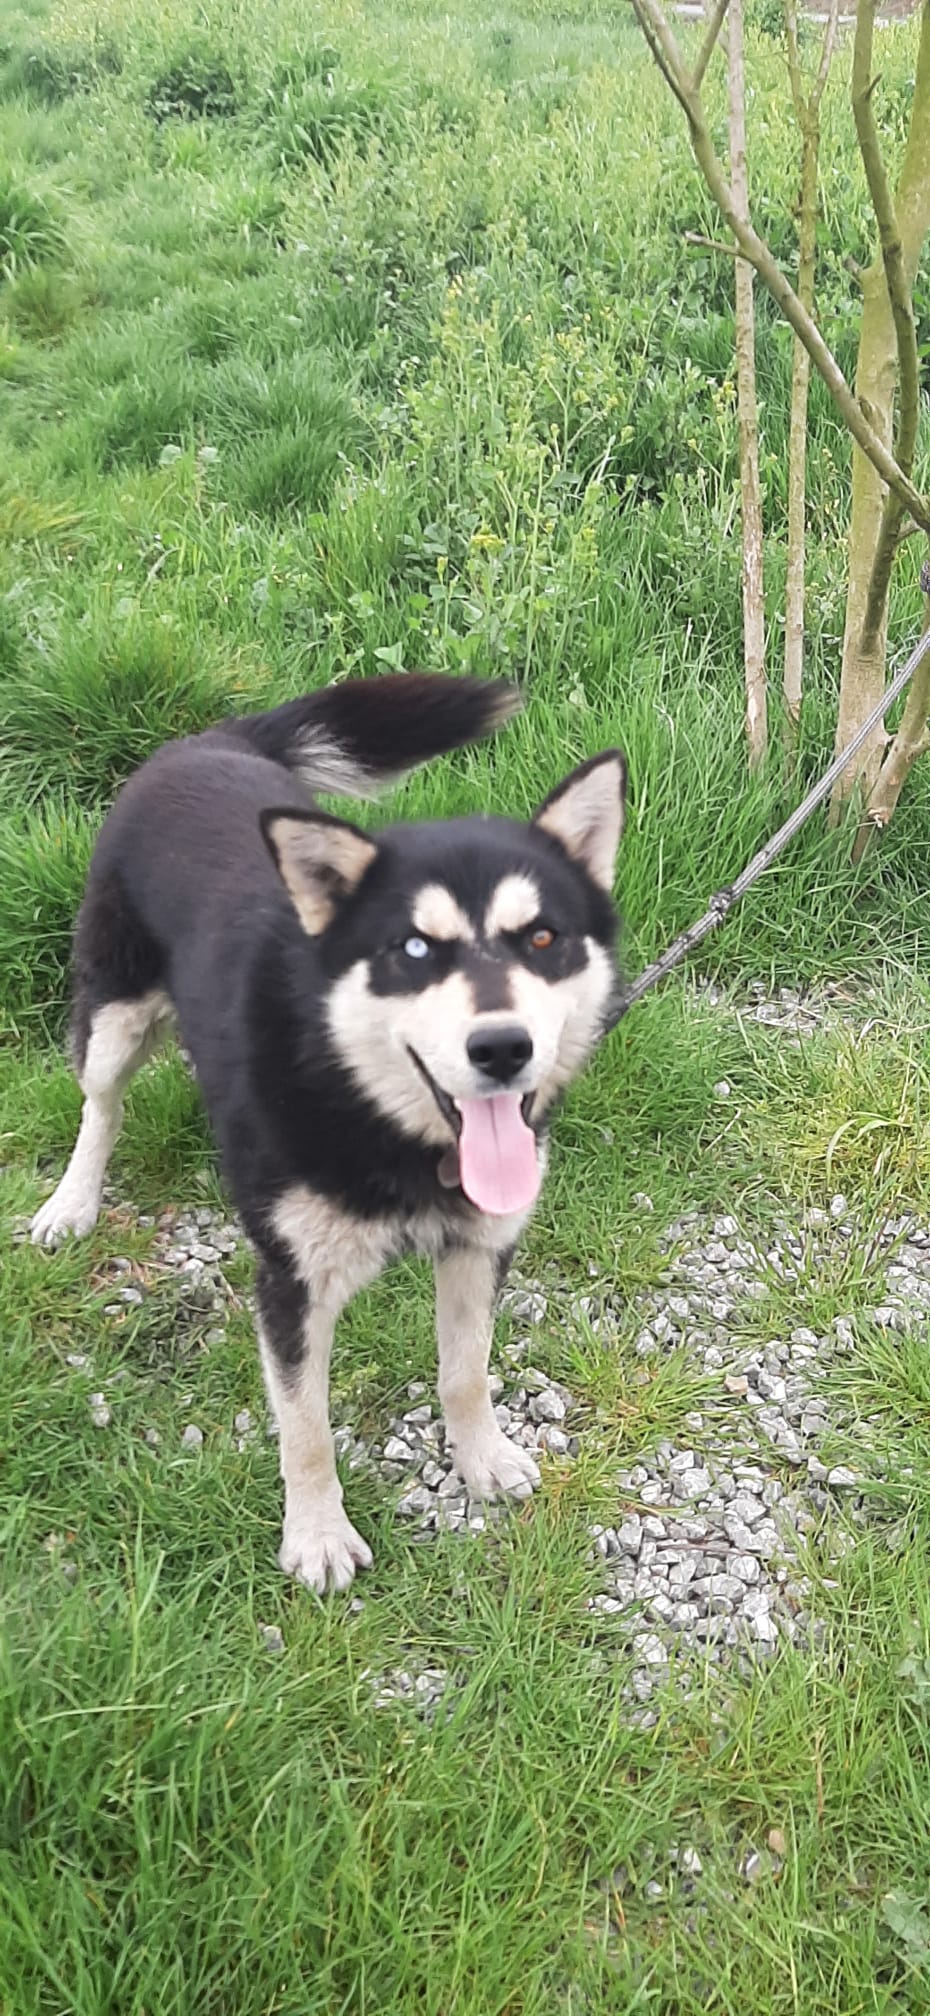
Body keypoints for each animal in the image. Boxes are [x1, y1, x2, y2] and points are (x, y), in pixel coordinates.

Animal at [32, 673, 625, 1592]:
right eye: (414, 949)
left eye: (542, 938)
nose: (502, 1049)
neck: (379, 1117)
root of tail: (206, 743)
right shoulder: (292, 1283)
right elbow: (304, 1427)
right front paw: (316, 1535)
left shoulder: (478, 1248)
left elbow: (466, 1372)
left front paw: (483, 1458)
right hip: (113, 1010)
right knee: (102, 1104)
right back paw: (73, 1202)